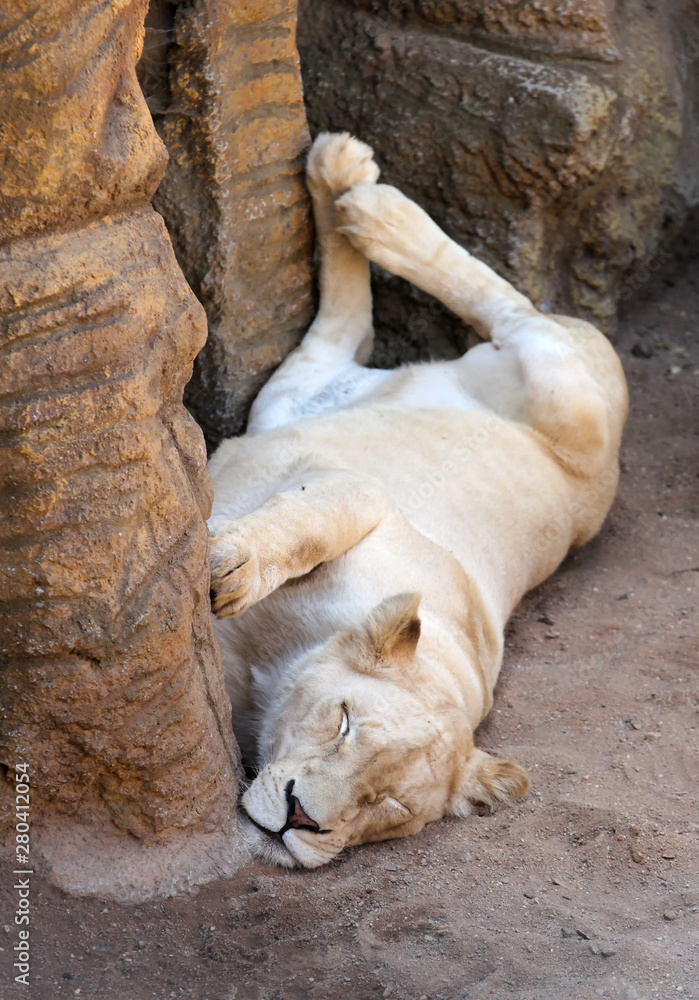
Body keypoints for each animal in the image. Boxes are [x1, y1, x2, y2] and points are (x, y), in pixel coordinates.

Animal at [207, 133, 628, 868]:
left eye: (386, 806)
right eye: (343, 724)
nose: (298, 817)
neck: (271, 667)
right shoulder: (365, 493)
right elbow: (310, 522)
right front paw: (224, 566)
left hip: (294, 394)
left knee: (345, 328)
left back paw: (342, 178)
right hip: (568, 396)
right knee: (515, 308)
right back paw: (374, 206)